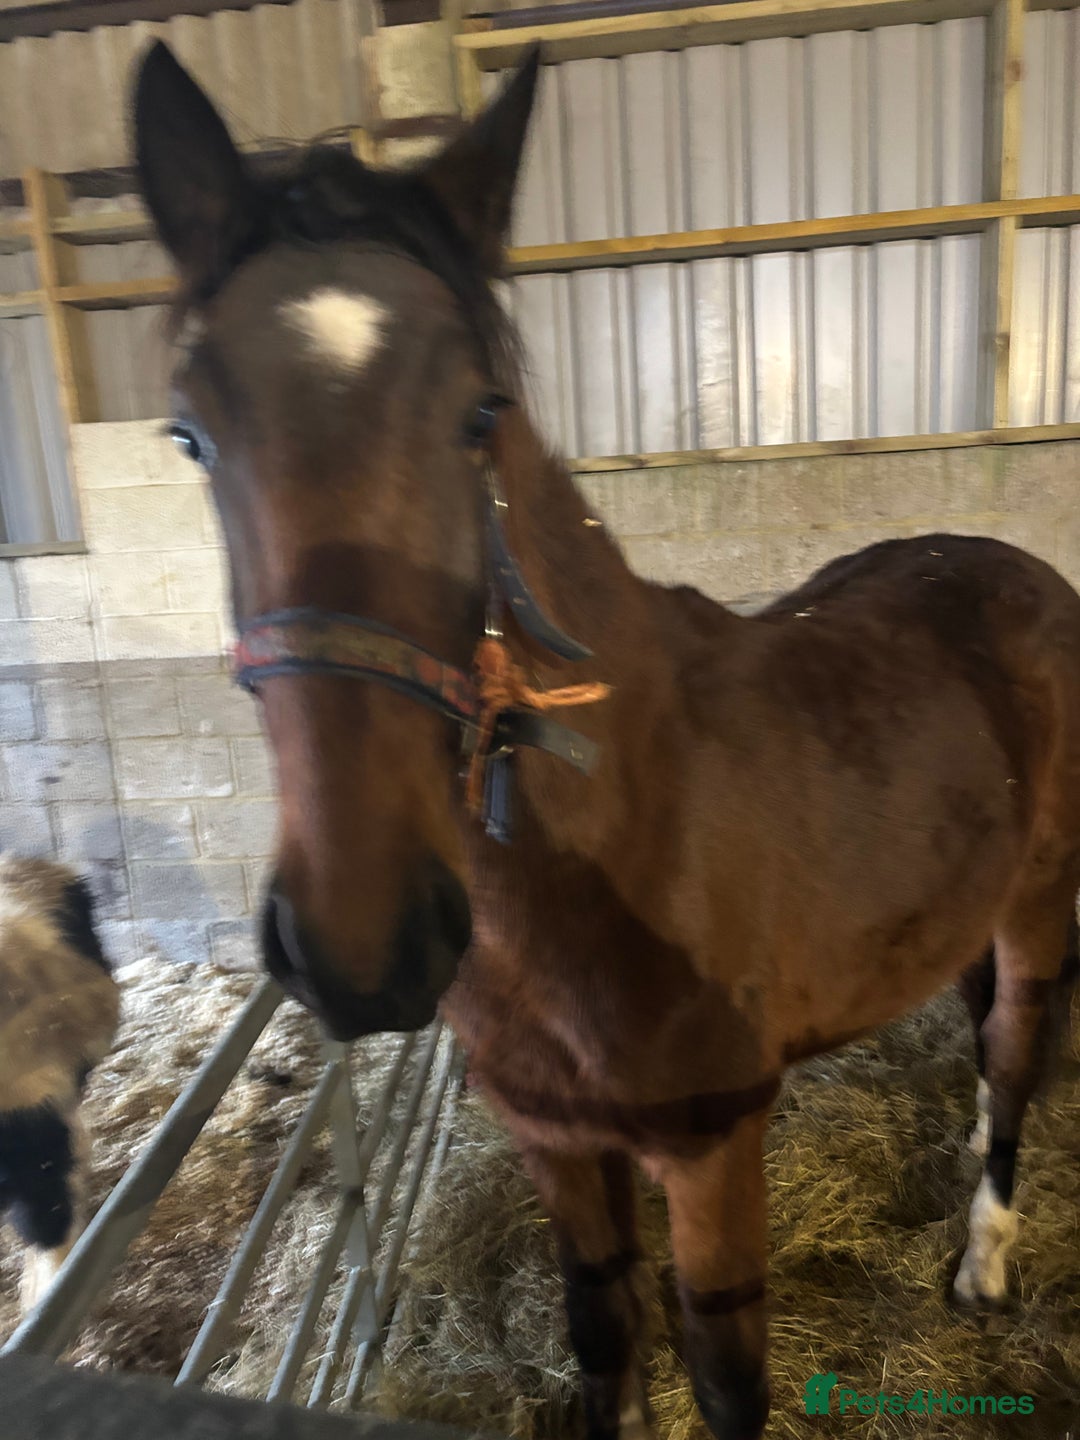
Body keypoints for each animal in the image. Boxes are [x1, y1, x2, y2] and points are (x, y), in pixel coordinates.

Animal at [133, 42, 1080, 1439]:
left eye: (480, 414)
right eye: (190, 433)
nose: (364, 947)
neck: (625, 841)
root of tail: (1019, 574)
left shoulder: (713, 1150)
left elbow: (726, 1379)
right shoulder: (555, 1143)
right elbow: (601, 1332)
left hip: (1038, 899)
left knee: (1013, 1058)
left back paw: (985, 1262)